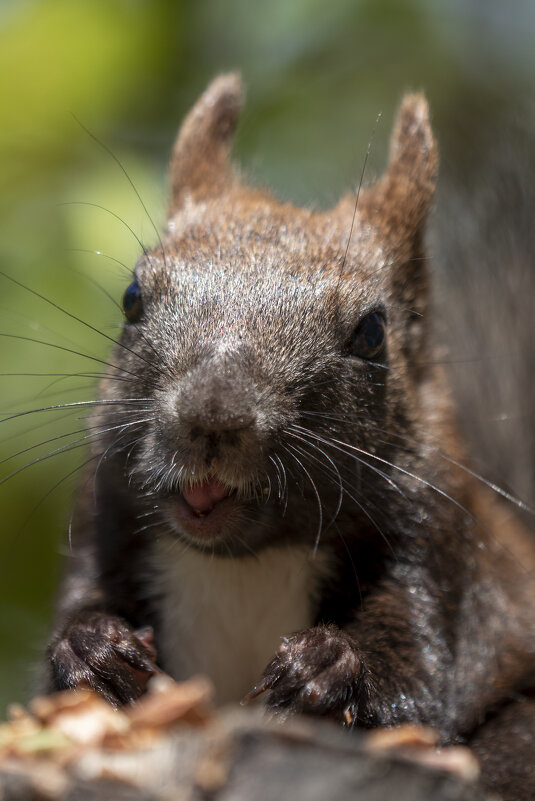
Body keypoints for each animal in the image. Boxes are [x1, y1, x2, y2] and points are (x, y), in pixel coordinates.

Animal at [44, 73, 535, 792]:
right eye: (132, 298)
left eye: (371, 332)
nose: (211, 416)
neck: (246, 562)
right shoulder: (104, 523)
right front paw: (92, 648)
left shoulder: (442, 556)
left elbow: (414, 673)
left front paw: (326, 669)